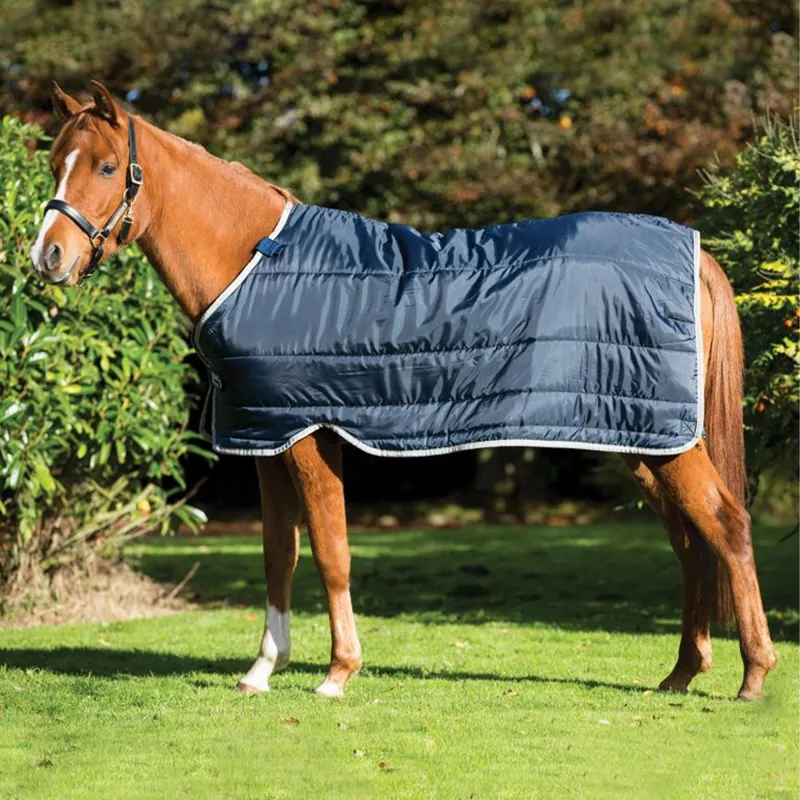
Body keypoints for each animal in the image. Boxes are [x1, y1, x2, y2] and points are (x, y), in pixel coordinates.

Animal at [30, 81, 777, 700]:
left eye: (105, 167)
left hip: (664, 441)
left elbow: (330, 551)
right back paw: (681, 673)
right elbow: (279, 555)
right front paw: (262, 670)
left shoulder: (309, 435)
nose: (47, 257)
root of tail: (693, 252)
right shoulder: (266, 436)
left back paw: (752, 677)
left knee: (728, 526)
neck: (256, 262)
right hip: (639, 437)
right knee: (690, 540)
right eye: (55, 162)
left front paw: (338, 673)